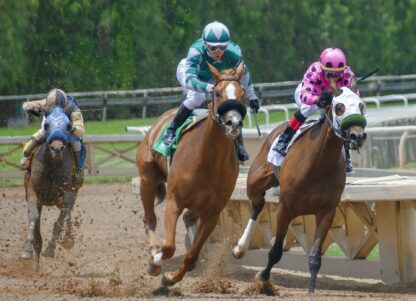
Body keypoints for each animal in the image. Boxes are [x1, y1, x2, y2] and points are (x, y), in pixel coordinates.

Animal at [20, 106, 83, 270]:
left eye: (68, 126)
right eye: (47, 125)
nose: (57, 148)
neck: (51, 169)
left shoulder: (68, 192)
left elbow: (62, 219)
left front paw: (61, 243)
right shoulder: (32, 190)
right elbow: (34, 218)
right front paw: (28, 251)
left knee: (64, 216)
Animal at [136, 62, 247, 284]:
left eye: (243, 94)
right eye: (218, 93)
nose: (233, 124)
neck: (208, 161)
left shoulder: (213, 212)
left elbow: (193, 253)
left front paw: (172, 277)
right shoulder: (174, 200)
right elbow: (169, 247)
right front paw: (157, 261)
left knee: (188, 219)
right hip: (147, 179)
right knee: (149, 218)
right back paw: (153, 254)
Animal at [232, 81, 366, 292]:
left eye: (361, 106)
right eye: (339, 107)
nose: (357, 136)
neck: (318, 164)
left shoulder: (326, 212)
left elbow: (315, 258)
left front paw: (311, 291)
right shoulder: (285, 208)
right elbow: (276, 251)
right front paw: (263, 279)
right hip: (255, 181)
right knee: (257, 205)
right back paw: (240, 247)